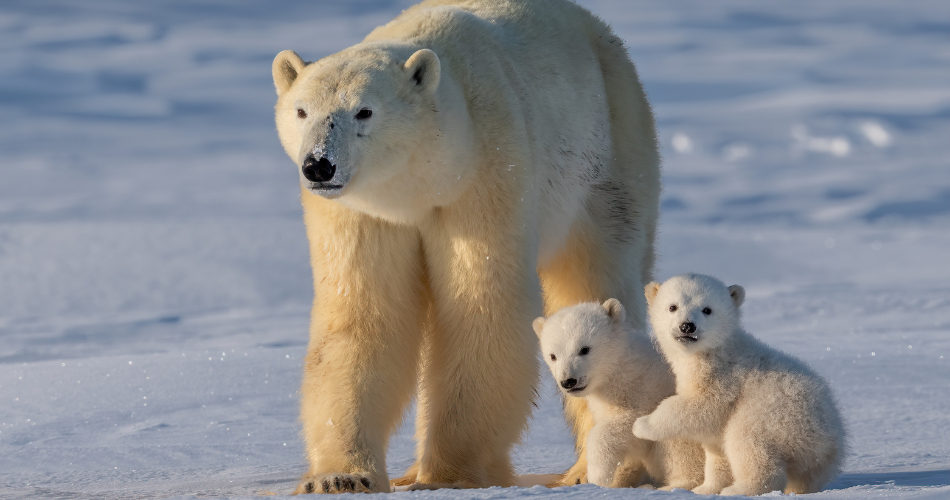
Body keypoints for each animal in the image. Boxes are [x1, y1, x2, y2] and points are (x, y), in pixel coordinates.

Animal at [271, 0, 660, 493]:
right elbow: (363, 315)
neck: (421, 185)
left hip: (608, 155)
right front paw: (340, 477)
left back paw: (590, 470)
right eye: (302, 110)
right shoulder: (363, 213)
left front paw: (448, 476)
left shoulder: (485, 174)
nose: (319, 165)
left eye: (364, 111)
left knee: (596, 275)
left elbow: (481, 308)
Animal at [533, 299, 704, 489]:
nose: (568, 381)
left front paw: (598, 475)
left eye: (584, 349)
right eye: (553, 356)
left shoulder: (647, 391)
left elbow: (629, 427)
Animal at [633, 274, 846, 496]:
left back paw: (739, 489)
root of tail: (830, 441)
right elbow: (716, 450)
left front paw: (642, 425)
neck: (715, 351)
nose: (687, 326)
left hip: (776, 416)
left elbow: (700, 407)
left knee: (746, 441)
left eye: (707, 309)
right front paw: (705, 489)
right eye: (672, 306)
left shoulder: (724, 379)